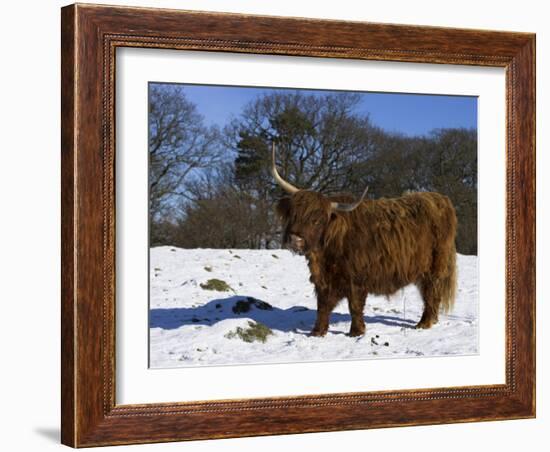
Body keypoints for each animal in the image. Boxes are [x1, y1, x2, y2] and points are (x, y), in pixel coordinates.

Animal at [274, 145, 460, 336]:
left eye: (317, 220)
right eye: (294, 214)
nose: (295, 239)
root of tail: (440, 199)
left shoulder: (356, 279)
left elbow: (355, 306)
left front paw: (356, 332)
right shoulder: (324, 280)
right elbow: (323, 306)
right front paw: (317, 332)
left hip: (435, 267)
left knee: (432, 293)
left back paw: (424, 323)